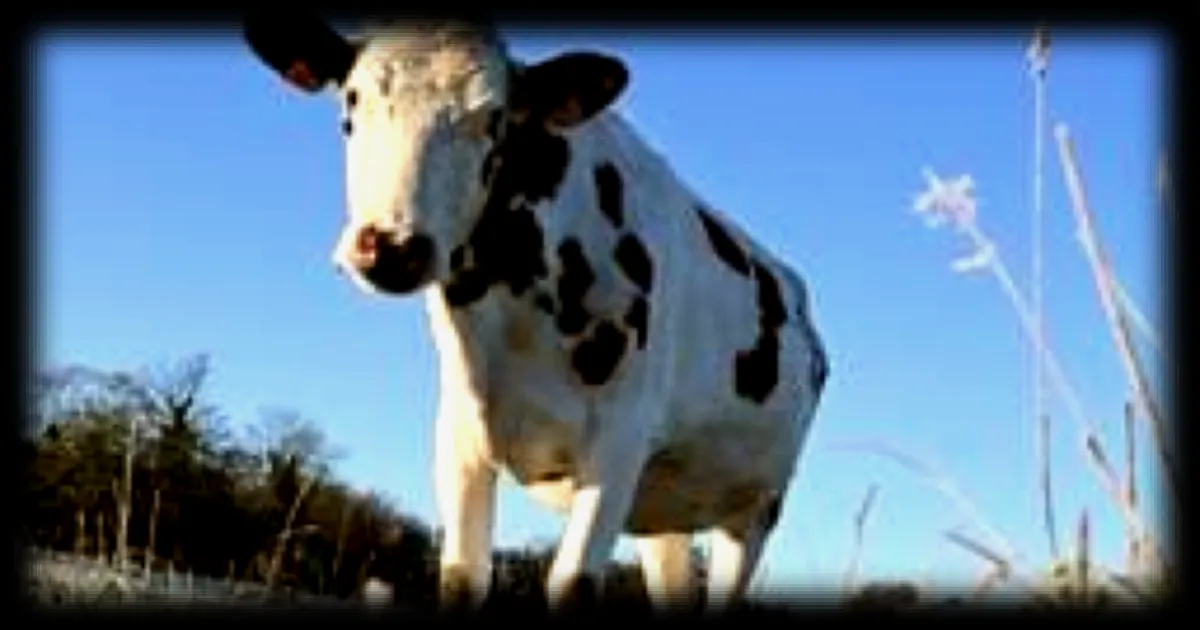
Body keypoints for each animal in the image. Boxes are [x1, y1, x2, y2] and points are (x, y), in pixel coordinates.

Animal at [242, 13, 830, 615]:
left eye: (495, 120)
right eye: (351, 104)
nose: (390, 247)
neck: (511, 320)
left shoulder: (621, 435)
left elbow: (572, 583)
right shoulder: (460, 433)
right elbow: (462, 578)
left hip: (756, 505)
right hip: (663, 514)